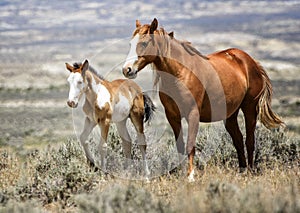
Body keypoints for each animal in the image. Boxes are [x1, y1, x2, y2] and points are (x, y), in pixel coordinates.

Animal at [122, 18, 284, 181]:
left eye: (144, 43)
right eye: (130, 44)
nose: (126, 69)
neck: (181, 73)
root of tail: (251, 62)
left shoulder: (193, 114)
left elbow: (190, 145)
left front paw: (190, 176)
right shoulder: (173, 116)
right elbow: (180, 146)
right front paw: (182, 173)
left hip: (250, 109)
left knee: (249, 140)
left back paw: (250, 172)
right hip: (230, 115)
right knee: (238, 140)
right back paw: (242, 171)